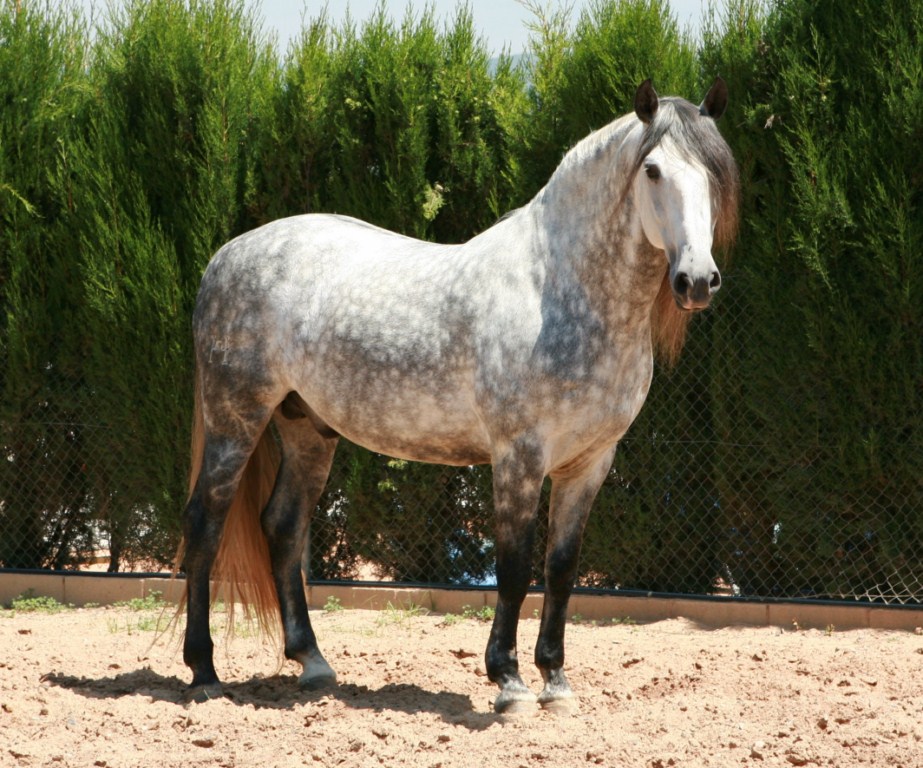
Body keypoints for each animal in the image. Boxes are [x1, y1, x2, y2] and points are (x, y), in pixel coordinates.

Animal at [178, 78, 739, 713]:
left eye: (715, 174)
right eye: (652, 170)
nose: (697, 281)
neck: (558, 290)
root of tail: (225, 257)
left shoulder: (590, 462)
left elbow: (561, 569)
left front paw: (556, 682)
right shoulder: (519, 456)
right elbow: (515, 567)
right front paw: (509, 683)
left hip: (307, 428)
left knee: (282, 527)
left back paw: (313, 663)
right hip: (236, 419)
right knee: (205, 524)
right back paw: (203, 671)